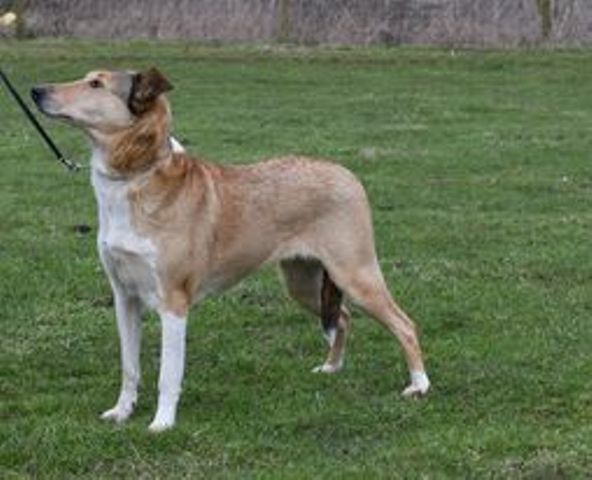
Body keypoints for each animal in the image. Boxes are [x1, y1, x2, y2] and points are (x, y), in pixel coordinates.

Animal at [31, 68, 430, 432]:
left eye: (95, 84)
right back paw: (332, 367)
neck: (135, 177)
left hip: (355, 274)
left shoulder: (173, 302)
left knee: (404, 324)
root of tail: (347, 173)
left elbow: (168, 375)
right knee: (342, 317)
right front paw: (121, 412)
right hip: (303, 282)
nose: (36, 90)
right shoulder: (124, 297)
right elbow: (130, 368)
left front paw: (162, 423)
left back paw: (419, 385)